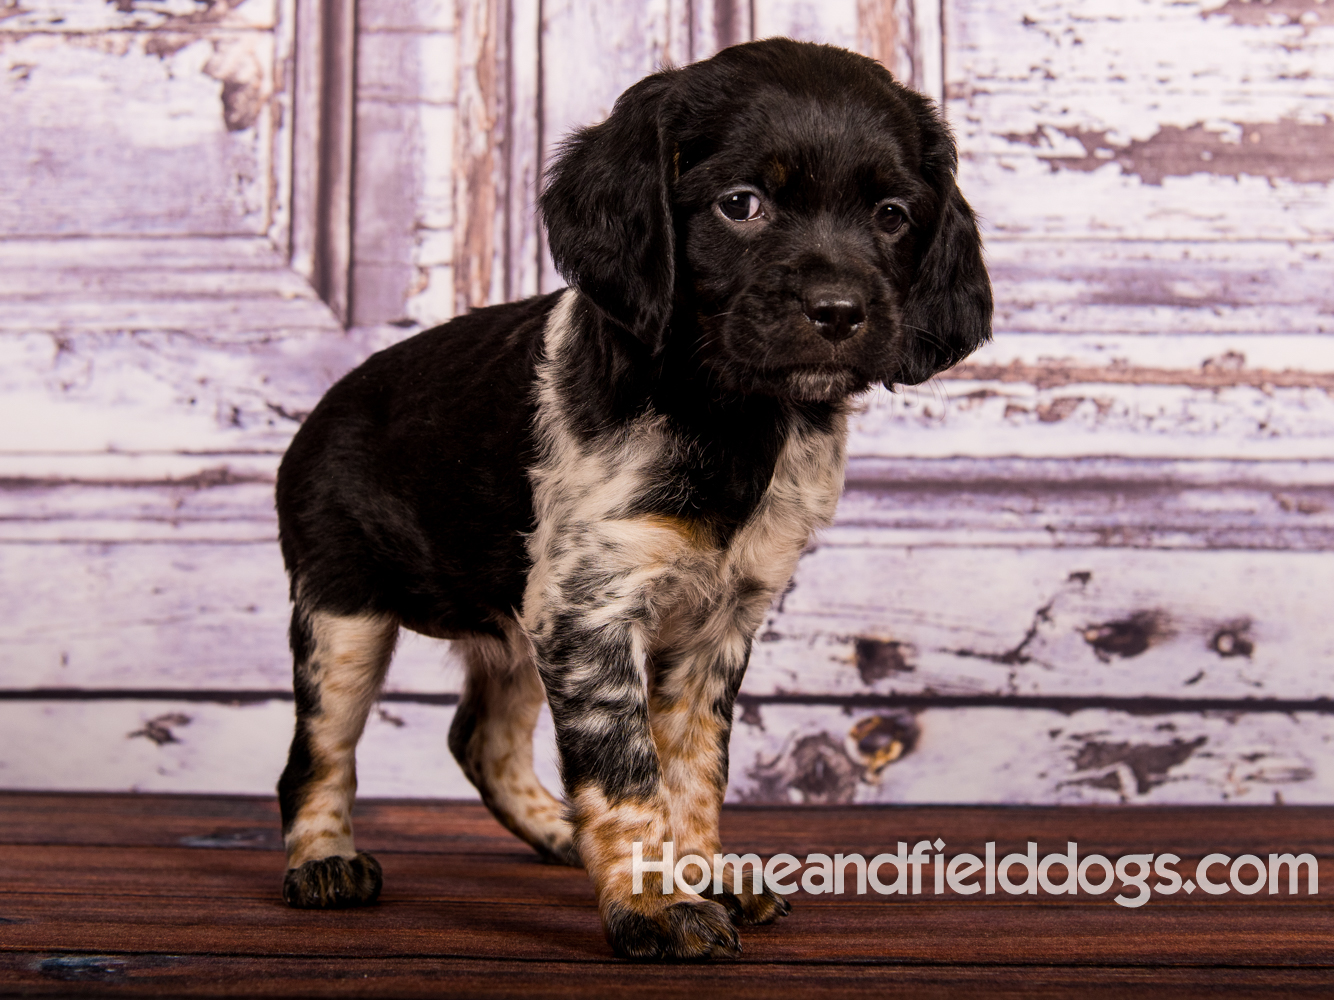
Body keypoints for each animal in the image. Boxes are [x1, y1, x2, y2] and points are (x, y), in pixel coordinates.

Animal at [273, 41, 992, 965]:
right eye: (740, 205)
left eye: (894, 216)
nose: (839, 313)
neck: (734, 421)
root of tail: (320, 411)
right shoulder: (591, 612)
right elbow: (624, 768)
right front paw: (654, 905)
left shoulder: (713, 626)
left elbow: (691, 770)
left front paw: (700, 876)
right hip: (345, 613)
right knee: (319, 753)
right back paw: (324, 860)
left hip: (512, 624)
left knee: (481, 738)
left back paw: (558, 833)